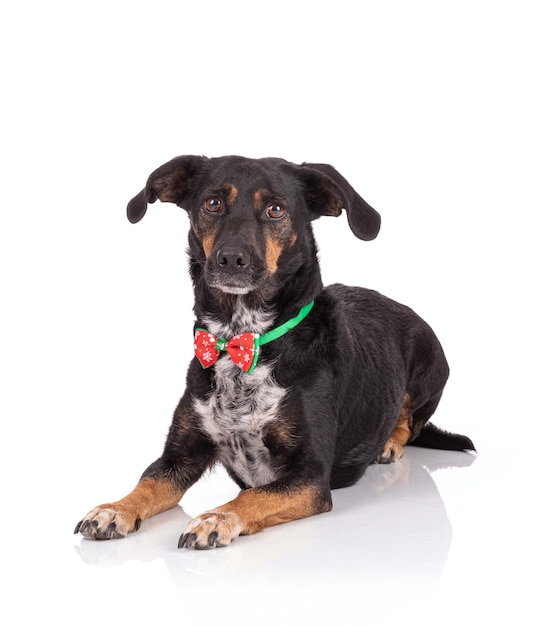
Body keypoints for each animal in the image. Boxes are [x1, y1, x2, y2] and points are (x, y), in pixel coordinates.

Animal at [74, 155, 476, 544]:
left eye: (276, 209)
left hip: (429, 363)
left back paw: (389, 443)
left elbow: (253, 495)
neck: (242, 338)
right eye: (213, 203)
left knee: (410, 423)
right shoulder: (179, 455)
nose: (231, 258)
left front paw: (217, 518)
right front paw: (114, 509)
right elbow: (148, 481)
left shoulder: (310, 476)